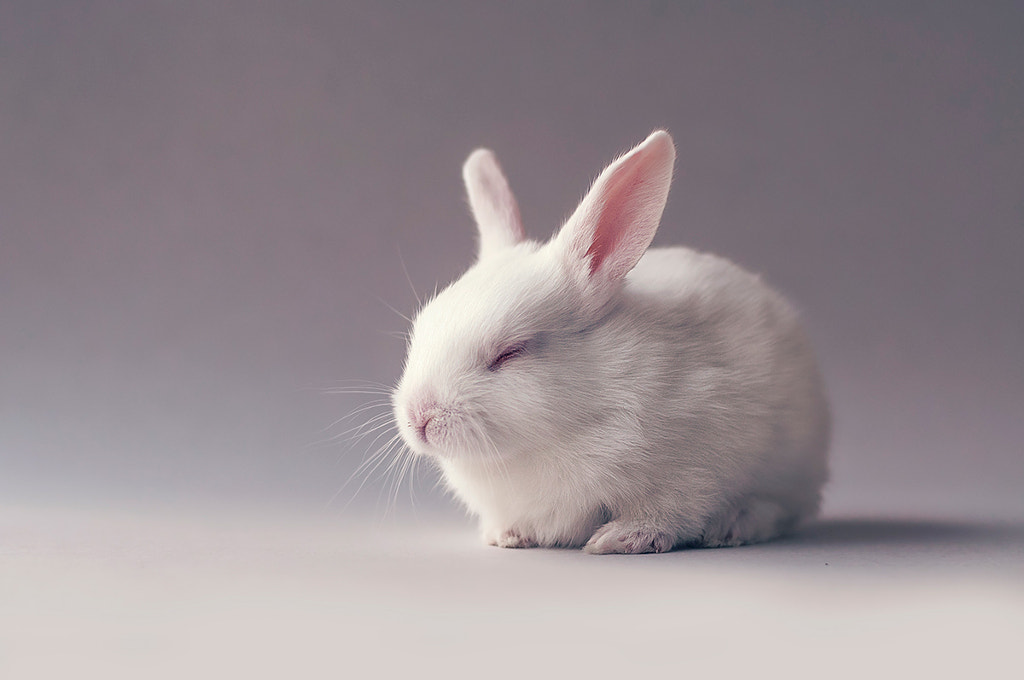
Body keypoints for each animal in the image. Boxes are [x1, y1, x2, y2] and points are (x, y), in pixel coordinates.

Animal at [391, 129, 831, 553]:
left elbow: (667, 513)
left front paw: (619, 539)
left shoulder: (692, 473)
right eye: (421, 330)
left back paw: (733, 527)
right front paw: (506, 536)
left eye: (509, 352)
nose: (420, 417)